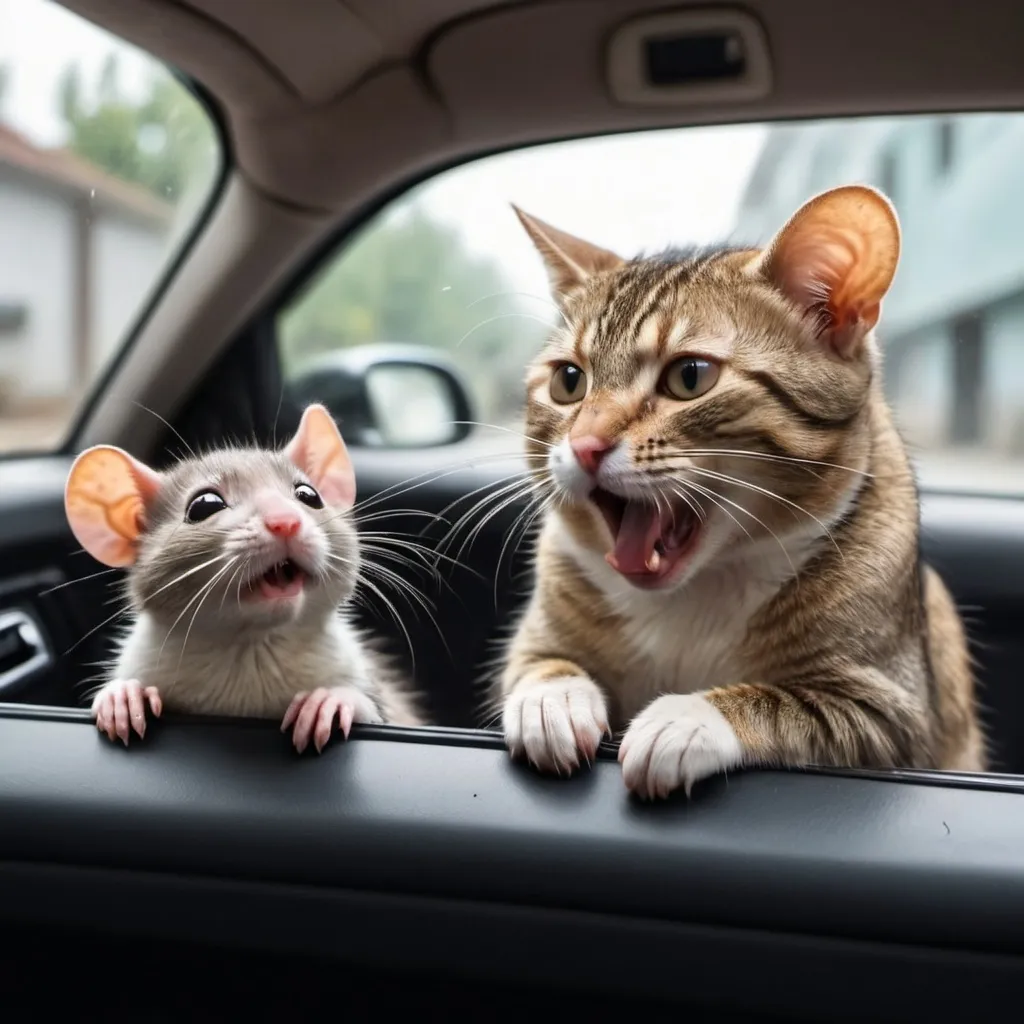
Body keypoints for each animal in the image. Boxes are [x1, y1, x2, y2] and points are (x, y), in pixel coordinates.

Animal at [491, 184, 987, 794]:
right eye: (568, 381)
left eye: (690, 376)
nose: (584, 445)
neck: (692, 595)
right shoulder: (539, 632)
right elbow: (536, 665)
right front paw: (552, 699)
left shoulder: (891, 712)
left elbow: (784, 705)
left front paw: (686, 717)